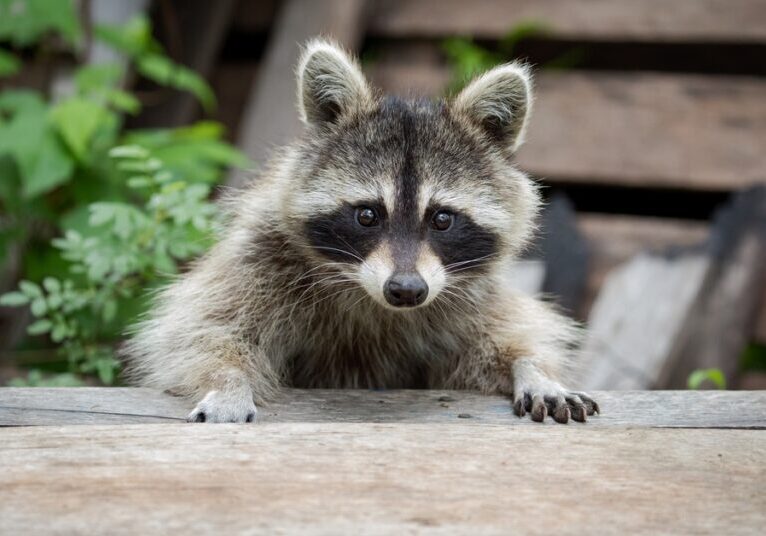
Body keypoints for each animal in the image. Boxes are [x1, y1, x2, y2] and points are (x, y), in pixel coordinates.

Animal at [123, 39, 599, 424]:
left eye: (442, 219)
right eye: (367, 215)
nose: (406, 290)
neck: (372, 297)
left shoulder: (470, 294)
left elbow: (504, 339)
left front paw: (534, 369)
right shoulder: (261, 256)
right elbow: (203, 329)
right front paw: (227, 380)